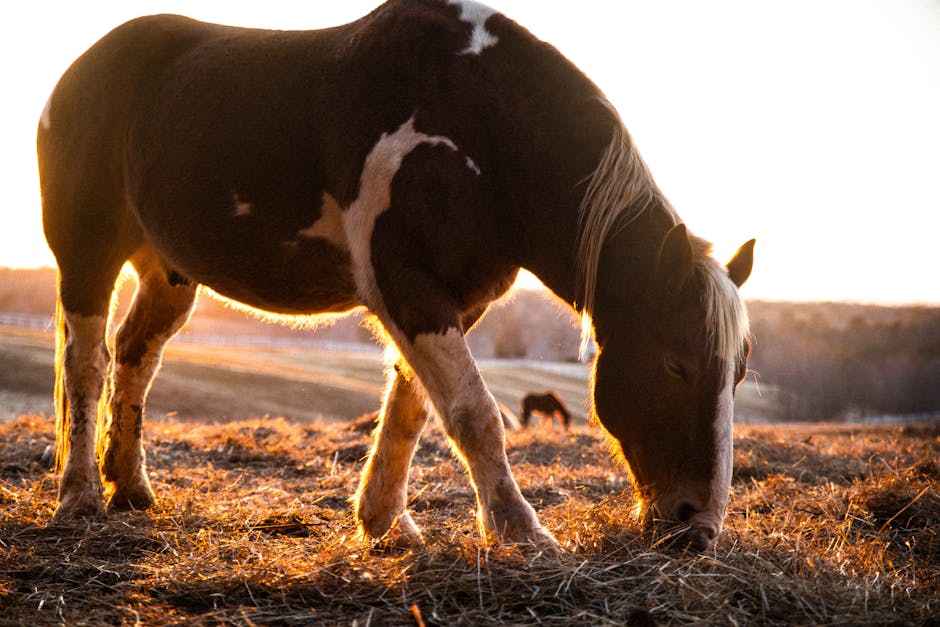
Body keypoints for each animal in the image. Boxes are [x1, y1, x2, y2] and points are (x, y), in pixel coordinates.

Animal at [38, 0, 756, 548]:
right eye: (675, 364)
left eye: (738, 372)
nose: (698, 526)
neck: (480, 126)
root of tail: (82, 69)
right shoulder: (404, 281)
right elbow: (472, 412)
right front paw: (520, 531)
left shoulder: (456, 297)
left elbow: (412, 407)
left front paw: (384, 520)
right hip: (86, 254)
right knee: (87, 363)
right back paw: (79, 495)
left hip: (169, 274)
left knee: (135, 356)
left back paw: (130, 486)